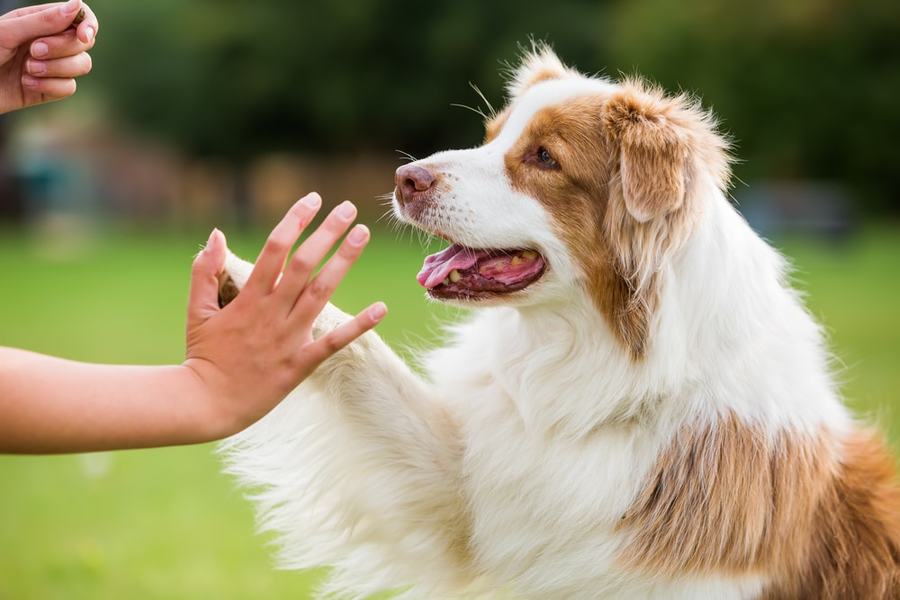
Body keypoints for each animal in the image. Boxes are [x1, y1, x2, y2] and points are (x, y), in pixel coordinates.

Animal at [214, 48, 896, 600]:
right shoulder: (469, 487)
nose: (405, 178)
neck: (605, 368)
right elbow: (366, 359)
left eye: (544, 157)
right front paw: (258, 289)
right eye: (490, 137)